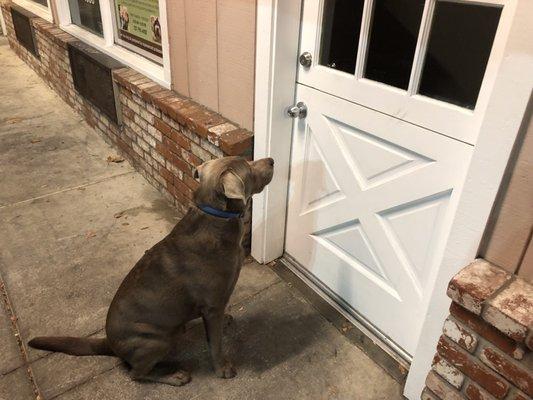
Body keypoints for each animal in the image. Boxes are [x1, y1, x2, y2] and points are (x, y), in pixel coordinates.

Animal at [29, 155, 274, 384]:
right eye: (248, 166)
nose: (271, 160)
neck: (216, 215)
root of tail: (110, 343)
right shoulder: (213, 306)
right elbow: (215, 343)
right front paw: (222, 369)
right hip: (156, 341)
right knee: (136, 374)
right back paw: (175, 376)